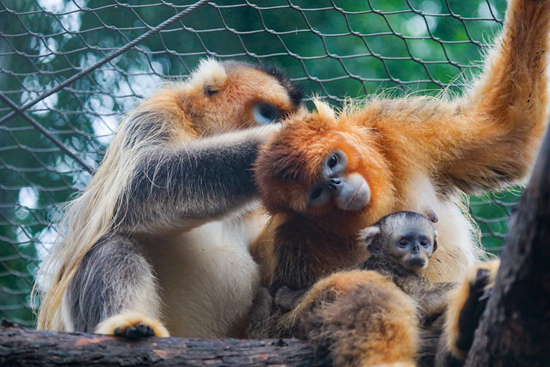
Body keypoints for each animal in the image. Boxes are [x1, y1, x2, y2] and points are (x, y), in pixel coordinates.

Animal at [36, 59, 304, 340]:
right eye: (267, 112)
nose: (281, 123)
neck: (199, 129)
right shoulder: (158, 113)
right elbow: (137, 184)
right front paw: (275, 141)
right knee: (109, 246)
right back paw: (129, 325)